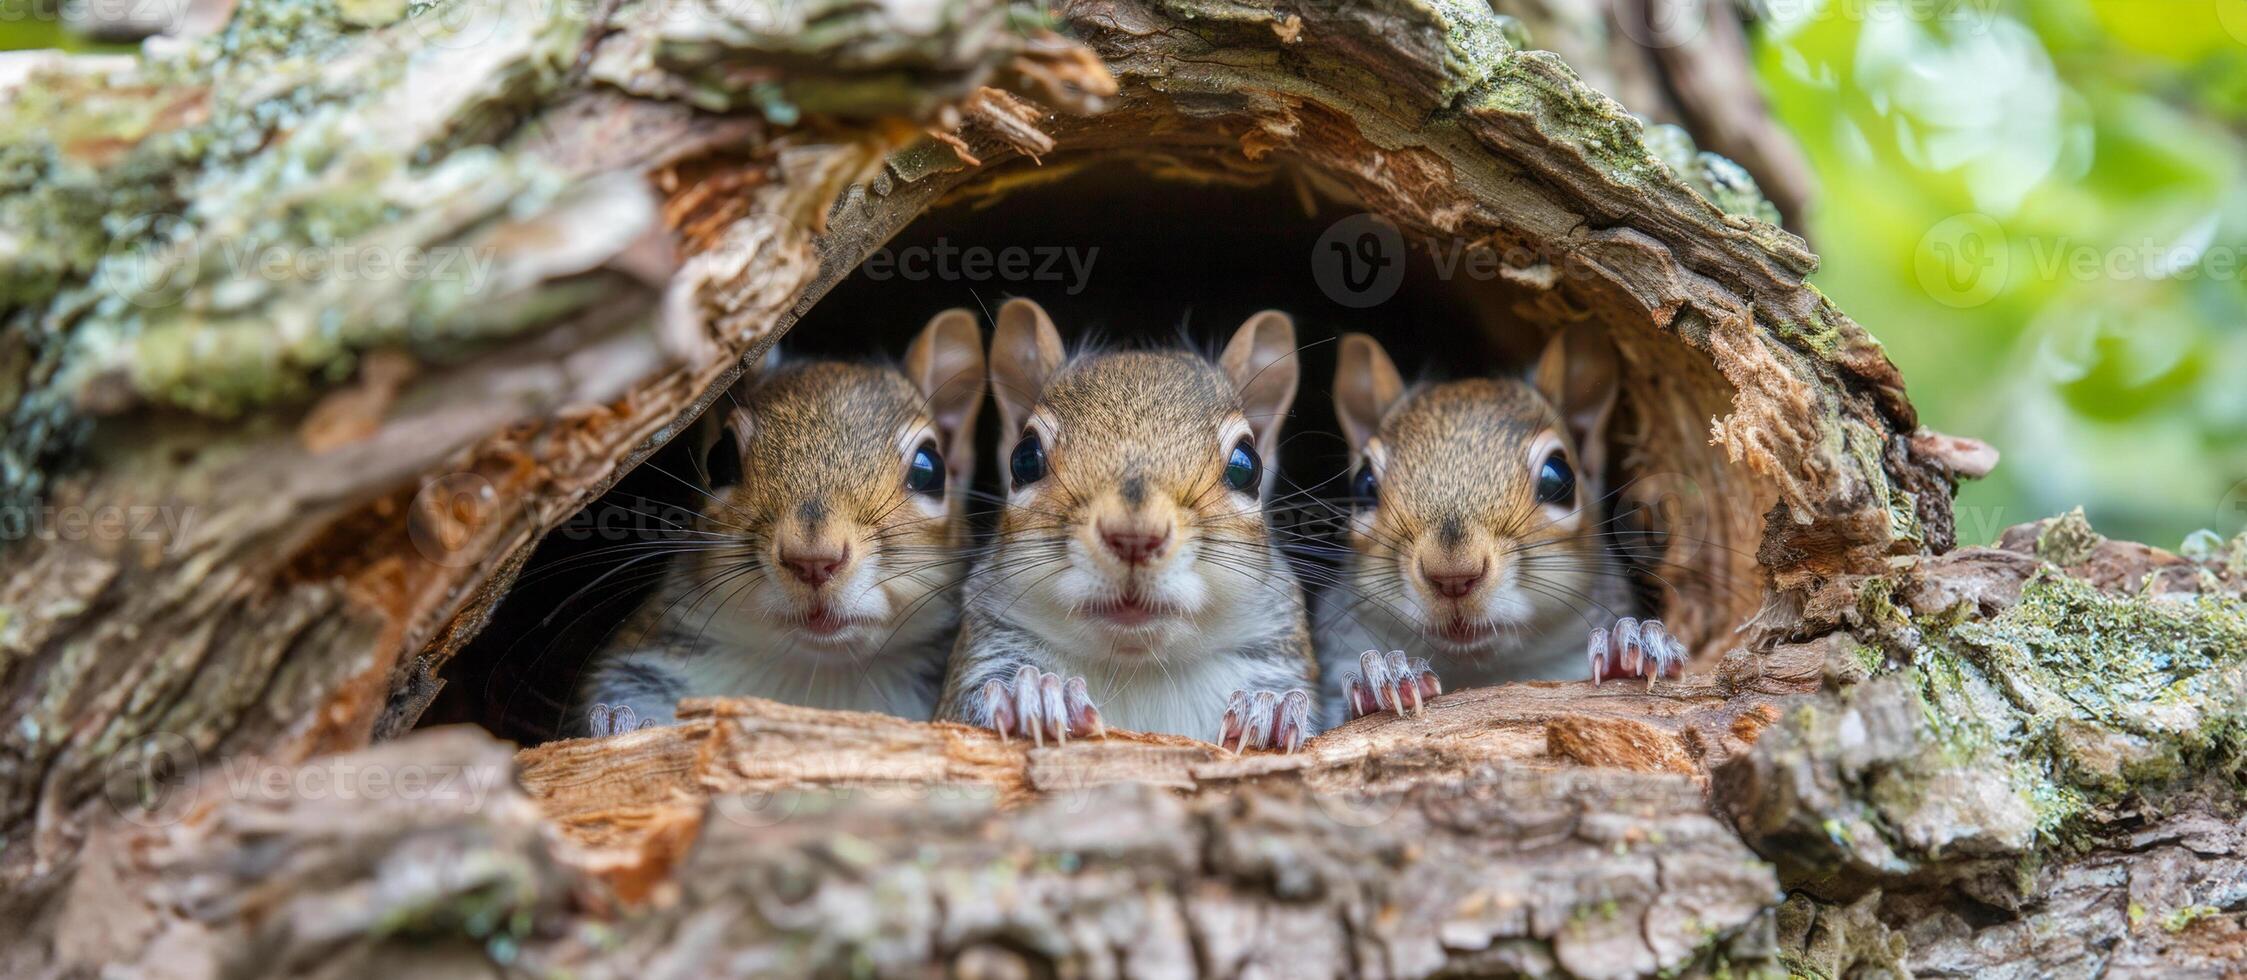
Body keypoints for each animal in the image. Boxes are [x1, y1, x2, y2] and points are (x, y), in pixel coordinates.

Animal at [930, 298, 1312, 750]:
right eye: (1023, 459)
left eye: (1246, 466)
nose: (1134, 537)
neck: (1136, 669)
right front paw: (1034, 694)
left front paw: (1269, 710)